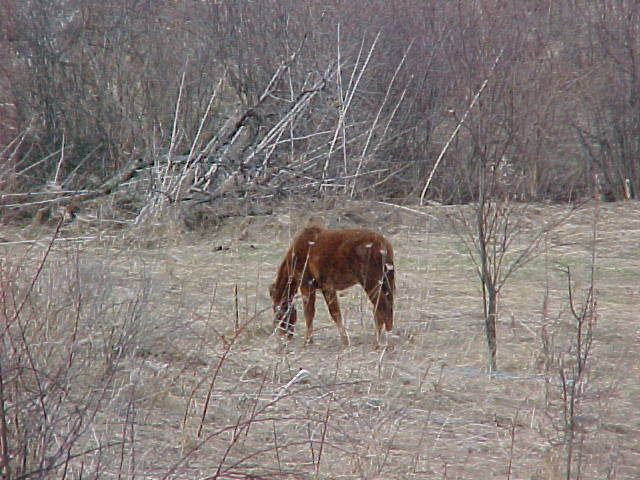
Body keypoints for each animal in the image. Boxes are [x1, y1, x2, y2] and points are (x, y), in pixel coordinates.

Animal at [266, 223, 396, 346]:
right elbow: (335, 313)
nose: (283, 332)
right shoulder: (325, 287)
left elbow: (311, 313)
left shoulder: (308, 284)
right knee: (386, 306)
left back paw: (381, 342)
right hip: (386, 279)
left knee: (382, 306)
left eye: (277, 309)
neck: (293, 260)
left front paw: (308, 340)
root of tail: (385, 246)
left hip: (371, 281)